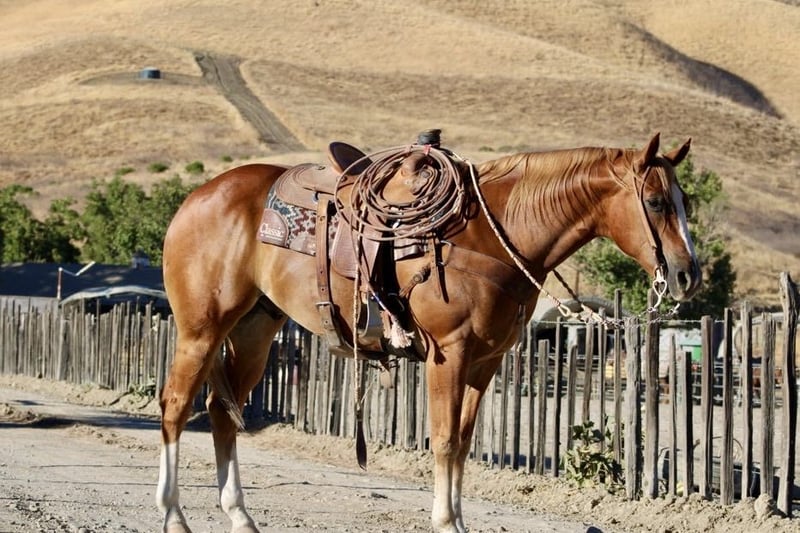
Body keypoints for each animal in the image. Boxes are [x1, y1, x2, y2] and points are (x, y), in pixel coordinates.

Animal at [156, 132, 700, 533]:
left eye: (685, 201)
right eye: (655, 202)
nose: (687, 276)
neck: (493, 234)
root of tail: (197, 198)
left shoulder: (485, 362)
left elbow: (461, 442)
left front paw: (458, 520)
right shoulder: (449, 354)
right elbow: (441, 440)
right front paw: (444, 522)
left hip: (255, 330)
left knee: (221, 414)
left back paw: (240, 516)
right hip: (202, 329)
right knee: (176, 406)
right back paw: (174, 516)